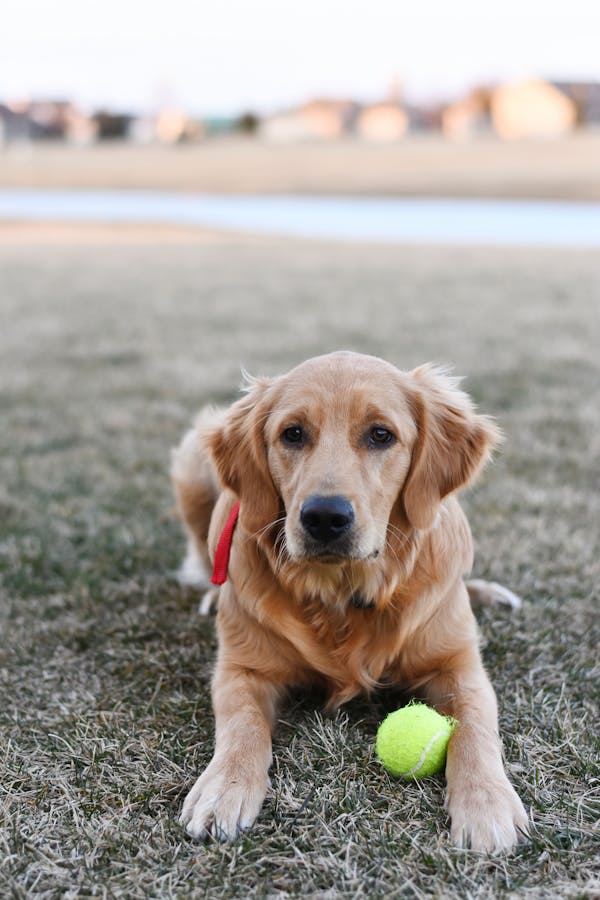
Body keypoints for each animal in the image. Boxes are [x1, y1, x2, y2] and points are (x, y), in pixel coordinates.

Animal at [171, 352, 528, 852]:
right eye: (292, 433)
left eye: (381, 434)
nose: (324, 517)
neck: (341, 594)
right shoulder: (243, 669)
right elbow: (243, 725)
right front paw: (222, 787)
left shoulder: (459, 666)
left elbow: (476, 729)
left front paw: (487, 804)